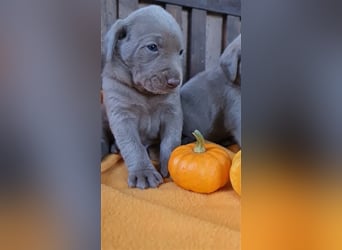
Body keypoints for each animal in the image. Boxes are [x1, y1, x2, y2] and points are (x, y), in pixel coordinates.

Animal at [101, 5, 184, 188]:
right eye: (152, 47)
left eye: (180, 52)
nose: (175, 82)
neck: (145, 93)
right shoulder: (122, 115)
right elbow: (133, 146)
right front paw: (143, 173)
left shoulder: (172, 112)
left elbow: (171, 140)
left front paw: (170, 163)